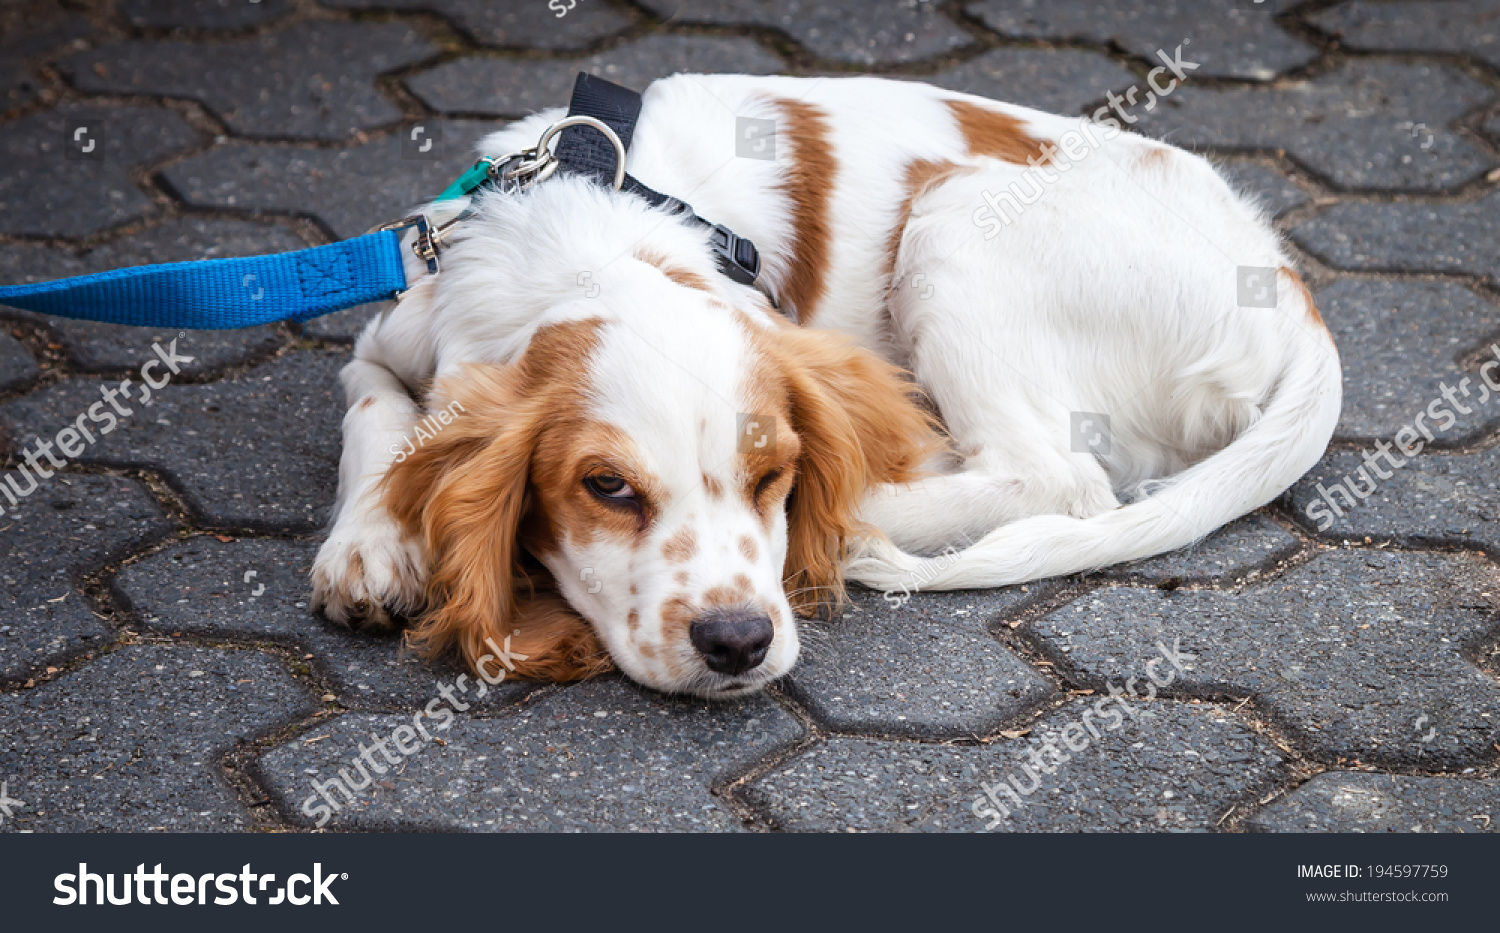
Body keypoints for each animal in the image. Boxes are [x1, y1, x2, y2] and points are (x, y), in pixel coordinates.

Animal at [310, 73, 1344, 699]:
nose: (736, 641)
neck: (587, 247)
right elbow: (379, 412)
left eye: (773, 476)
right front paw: (366, 546)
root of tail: (1284, 280)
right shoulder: (391, 325)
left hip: (957, 214)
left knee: (1058, 478)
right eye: (605, 488)